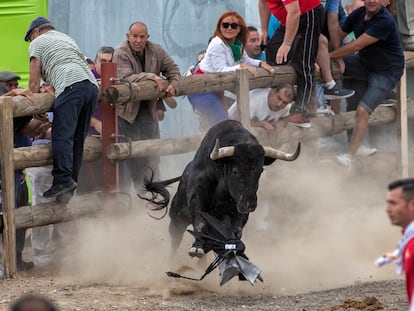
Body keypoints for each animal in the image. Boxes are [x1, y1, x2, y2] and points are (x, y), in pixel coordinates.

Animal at [141, 120, 300, 260]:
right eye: (235, 171)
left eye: (260, 170)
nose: (250, 204)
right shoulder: (197, 198)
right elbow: (200, 223)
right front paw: (196, 248)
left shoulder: (238, 209)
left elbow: (237, 230)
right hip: (177, 218)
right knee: (175, 241)